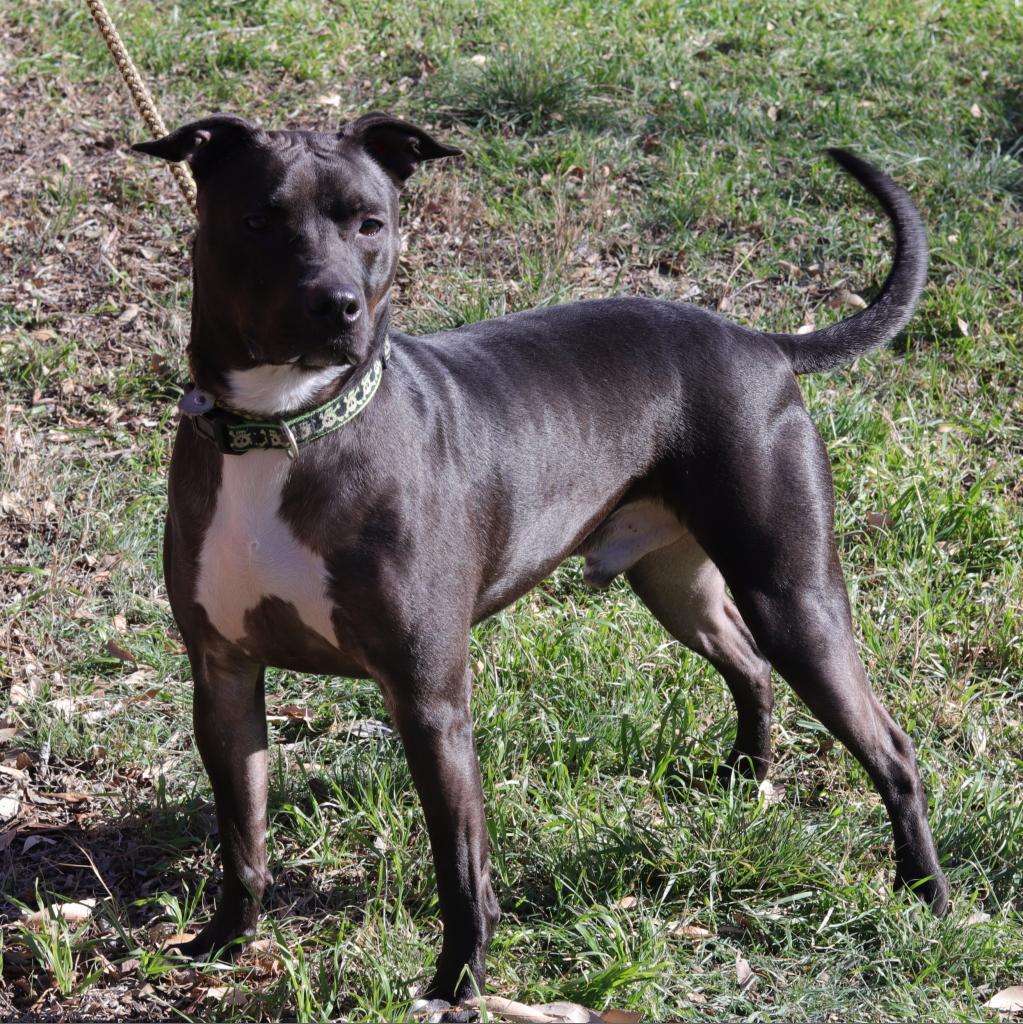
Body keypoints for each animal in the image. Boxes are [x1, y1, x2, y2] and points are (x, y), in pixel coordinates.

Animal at [132, 116, 946, 1003]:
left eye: (370, 224)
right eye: (258, 221)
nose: (336, 304)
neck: (288, 427)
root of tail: (754, 341)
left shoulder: (429, 699)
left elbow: (460, 866)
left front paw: (459, 983)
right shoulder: (223, 677)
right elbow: (241, 835)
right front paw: (223, 941)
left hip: (793, 596)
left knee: (890, 747)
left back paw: (924, 894)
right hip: (676, 584)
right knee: (746, 661)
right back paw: (746, 779)